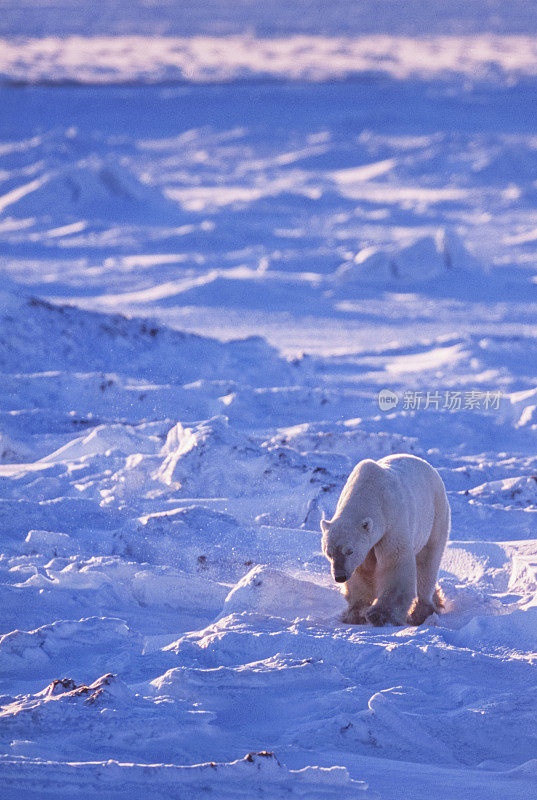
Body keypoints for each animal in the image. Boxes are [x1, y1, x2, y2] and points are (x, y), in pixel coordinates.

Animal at [320, 454, 450, 628]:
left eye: (349, 551)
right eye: (329, 553)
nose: (339, 576)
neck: (368, 491)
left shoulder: (392, 522)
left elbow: (394, 562)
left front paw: (380, 616)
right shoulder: (368, 544)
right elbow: (363, 571)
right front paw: (355, 614)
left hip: (435, 515)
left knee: (427, 562)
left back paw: (421, 613)